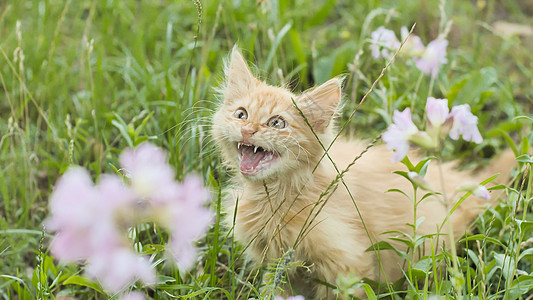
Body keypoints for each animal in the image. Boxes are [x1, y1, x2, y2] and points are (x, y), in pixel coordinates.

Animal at [211, 47, 512, 298]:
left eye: (277, 123)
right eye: (241, 114)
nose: (248, 130)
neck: (276, 196)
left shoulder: (347, 264)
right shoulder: (278, 265)